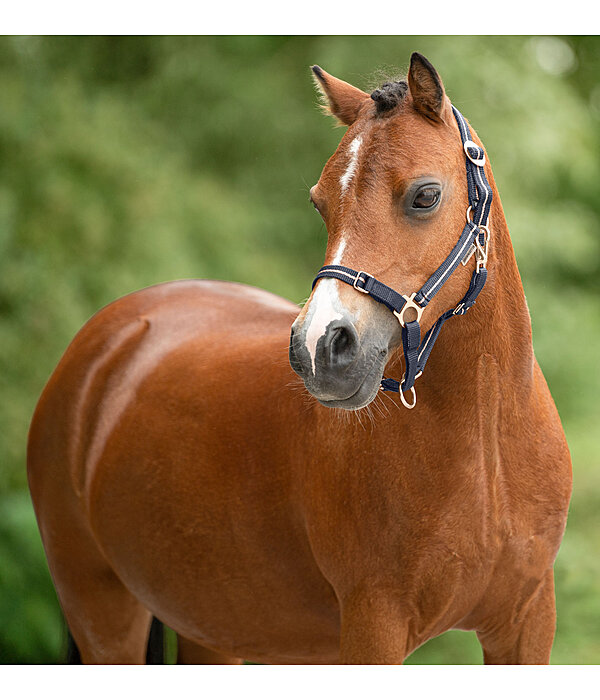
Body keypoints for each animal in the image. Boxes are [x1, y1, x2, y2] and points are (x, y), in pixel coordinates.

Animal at [28, 52, 572, 664]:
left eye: (425, 196)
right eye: (320, 203)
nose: (320, 349)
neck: (487, 447)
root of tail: (107, 340)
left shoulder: (527, 624)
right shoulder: (373, 628)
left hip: (212, 628)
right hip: (101, 610)